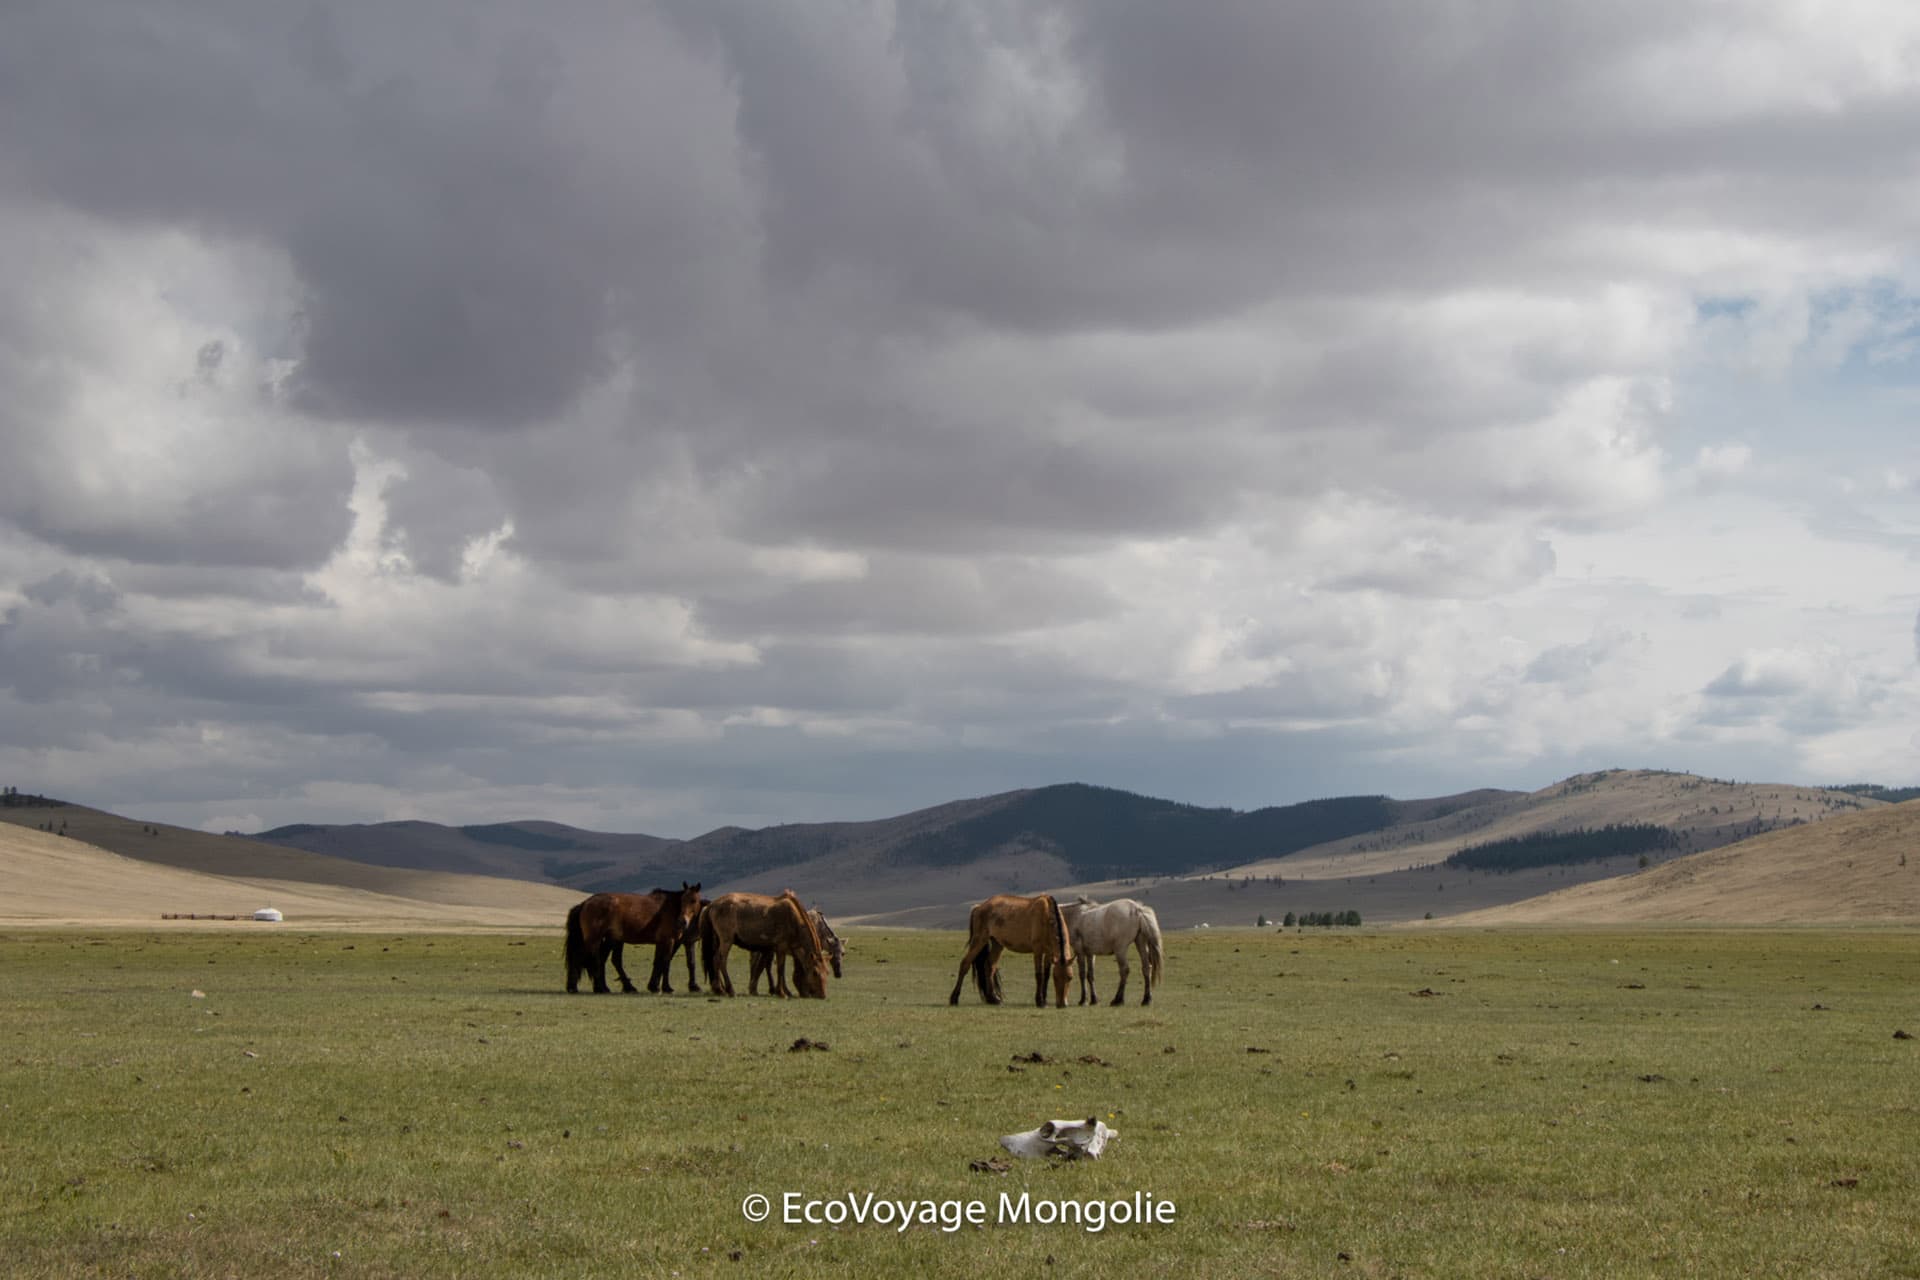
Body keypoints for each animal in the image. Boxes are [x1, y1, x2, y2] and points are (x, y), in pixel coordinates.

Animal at [563, 883, 701, 994]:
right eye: (683, 900)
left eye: (694, 900)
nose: (682, 921)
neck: (671, 908)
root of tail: (585, 903)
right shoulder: (669, 941)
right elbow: (666, 963)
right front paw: (666, 988)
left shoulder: (661, 942)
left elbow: (658, 962)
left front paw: (653, 986)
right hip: (594, 939)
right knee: (588, 959)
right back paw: (591, 988)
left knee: (597, 959)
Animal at [701, 890, 830, 998]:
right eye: (815, 972)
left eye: (827, 972)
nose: (822, 995)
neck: (793, 918)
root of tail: (713, 904)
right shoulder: (781, 947)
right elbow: (780, 969)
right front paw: (781, 992)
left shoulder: (774, 948)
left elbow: (765, 967)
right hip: (726, 940)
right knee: (721, 960)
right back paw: (729, 990)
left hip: (718, 940)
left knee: (714, 960)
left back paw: (719, 989)